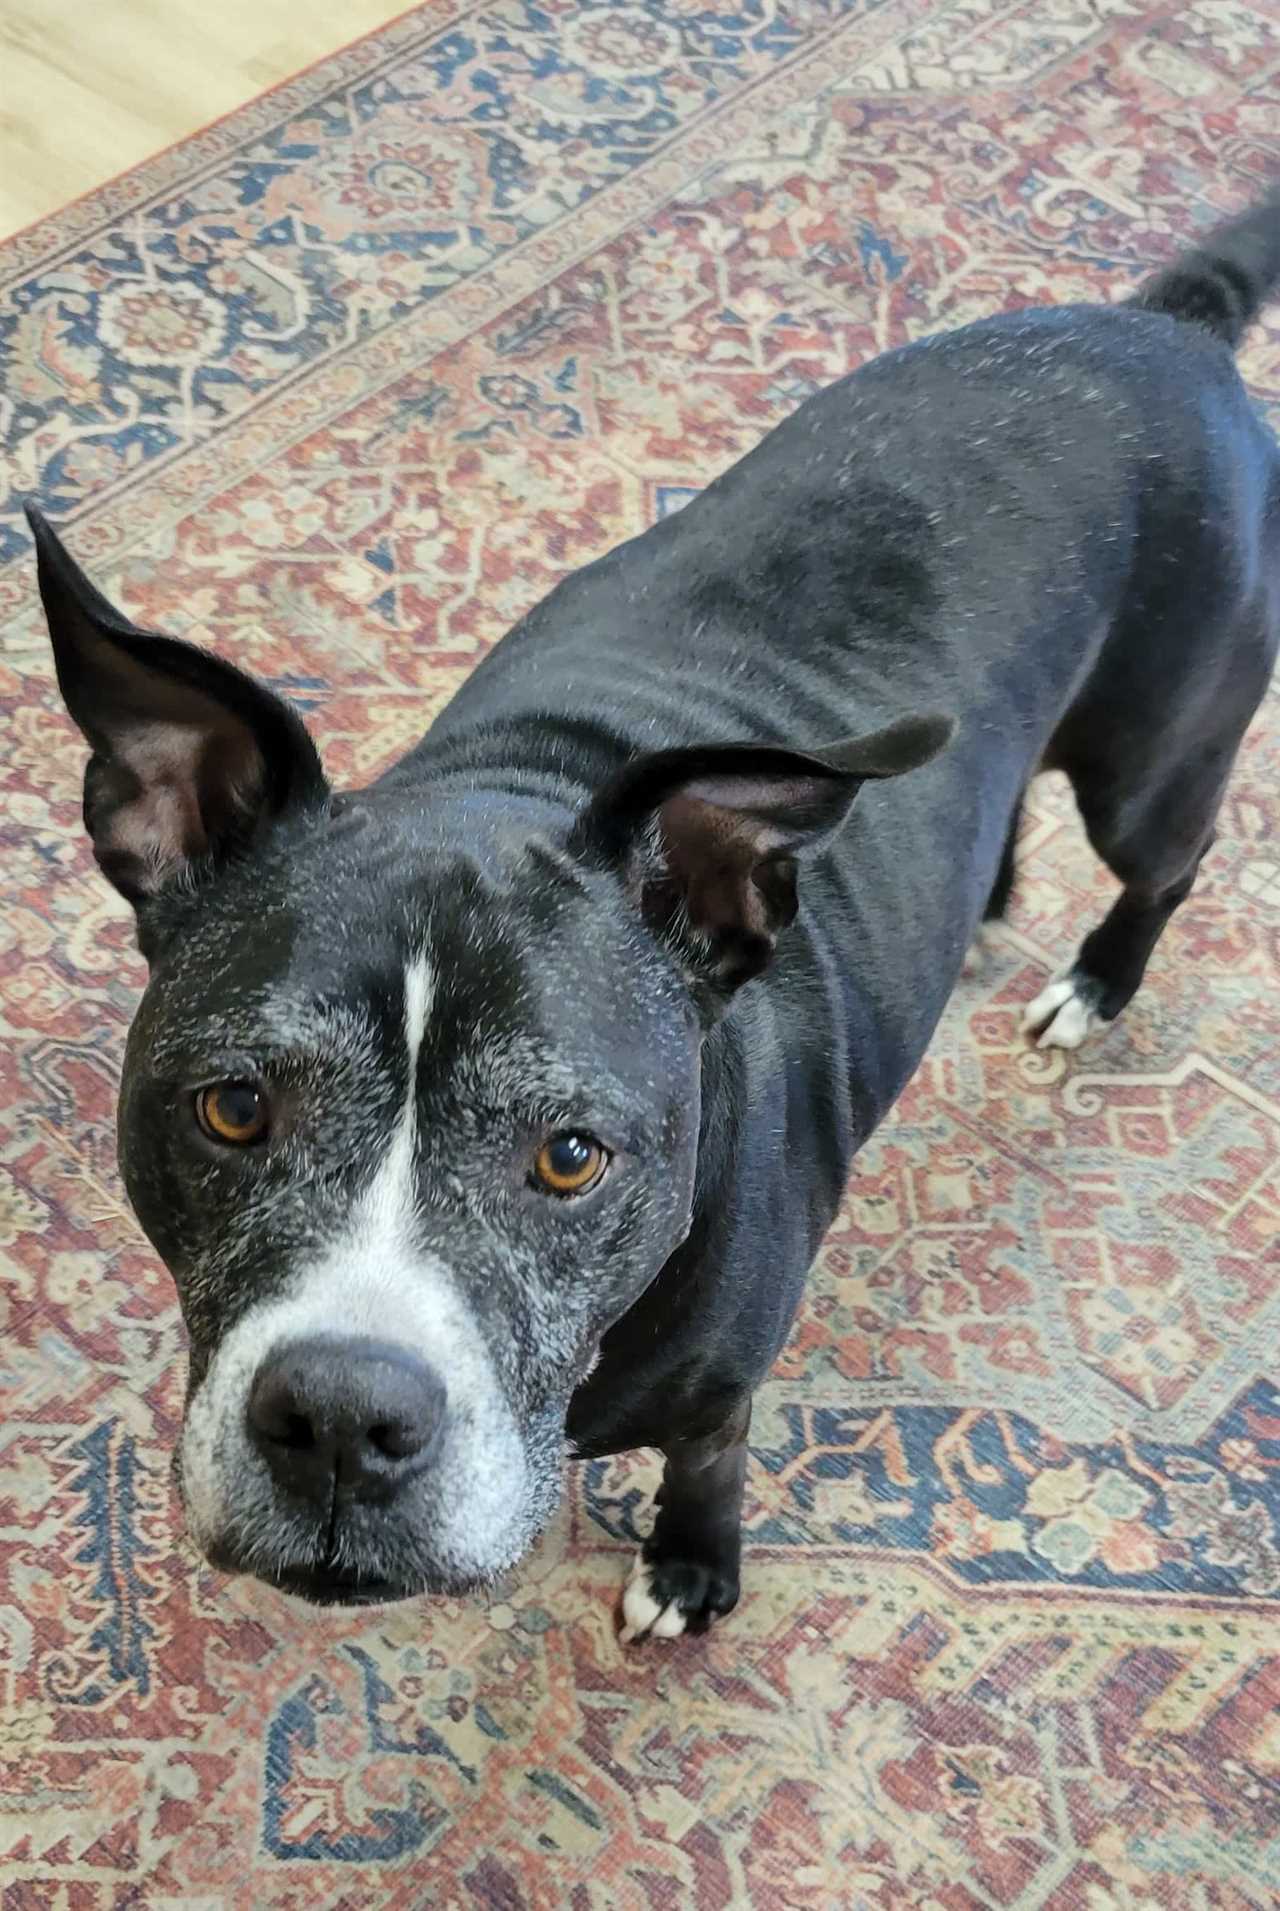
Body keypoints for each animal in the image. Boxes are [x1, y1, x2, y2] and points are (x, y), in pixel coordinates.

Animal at [25, 186, 1276, 1635]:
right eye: (232, 1107)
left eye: (571, 1155)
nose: (340, 1416)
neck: (516, 784)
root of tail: (1167, 325)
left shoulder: (722, 1386)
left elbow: (710, 1456)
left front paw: (690, 1565)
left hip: (1152, 761)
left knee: (1169, 862)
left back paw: (1095, 981)